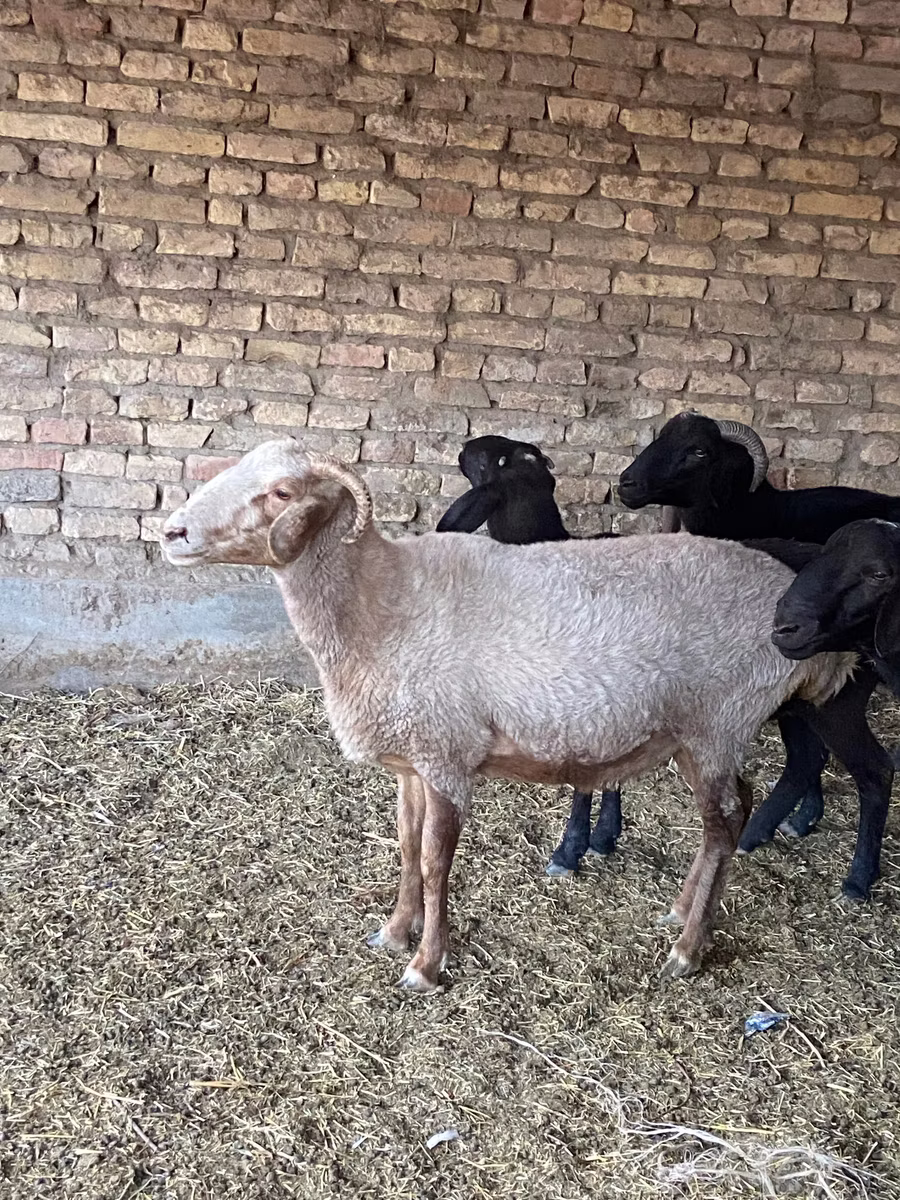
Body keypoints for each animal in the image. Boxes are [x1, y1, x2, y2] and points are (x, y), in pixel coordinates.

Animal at [160, 438, 857, 993]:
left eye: (282, 492)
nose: (171, 534)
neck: (380, 601)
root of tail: (793, 610)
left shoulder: (446, 755)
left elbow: (436, 860)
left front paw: (425, 964)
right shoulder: (412, 761)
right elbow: (406, 845)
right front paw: (395, 930)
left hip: (720, 720)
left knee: (724, 821)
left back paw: (687, 949)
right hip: (700, 734)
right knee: (733, 809)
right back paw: (683, 913)